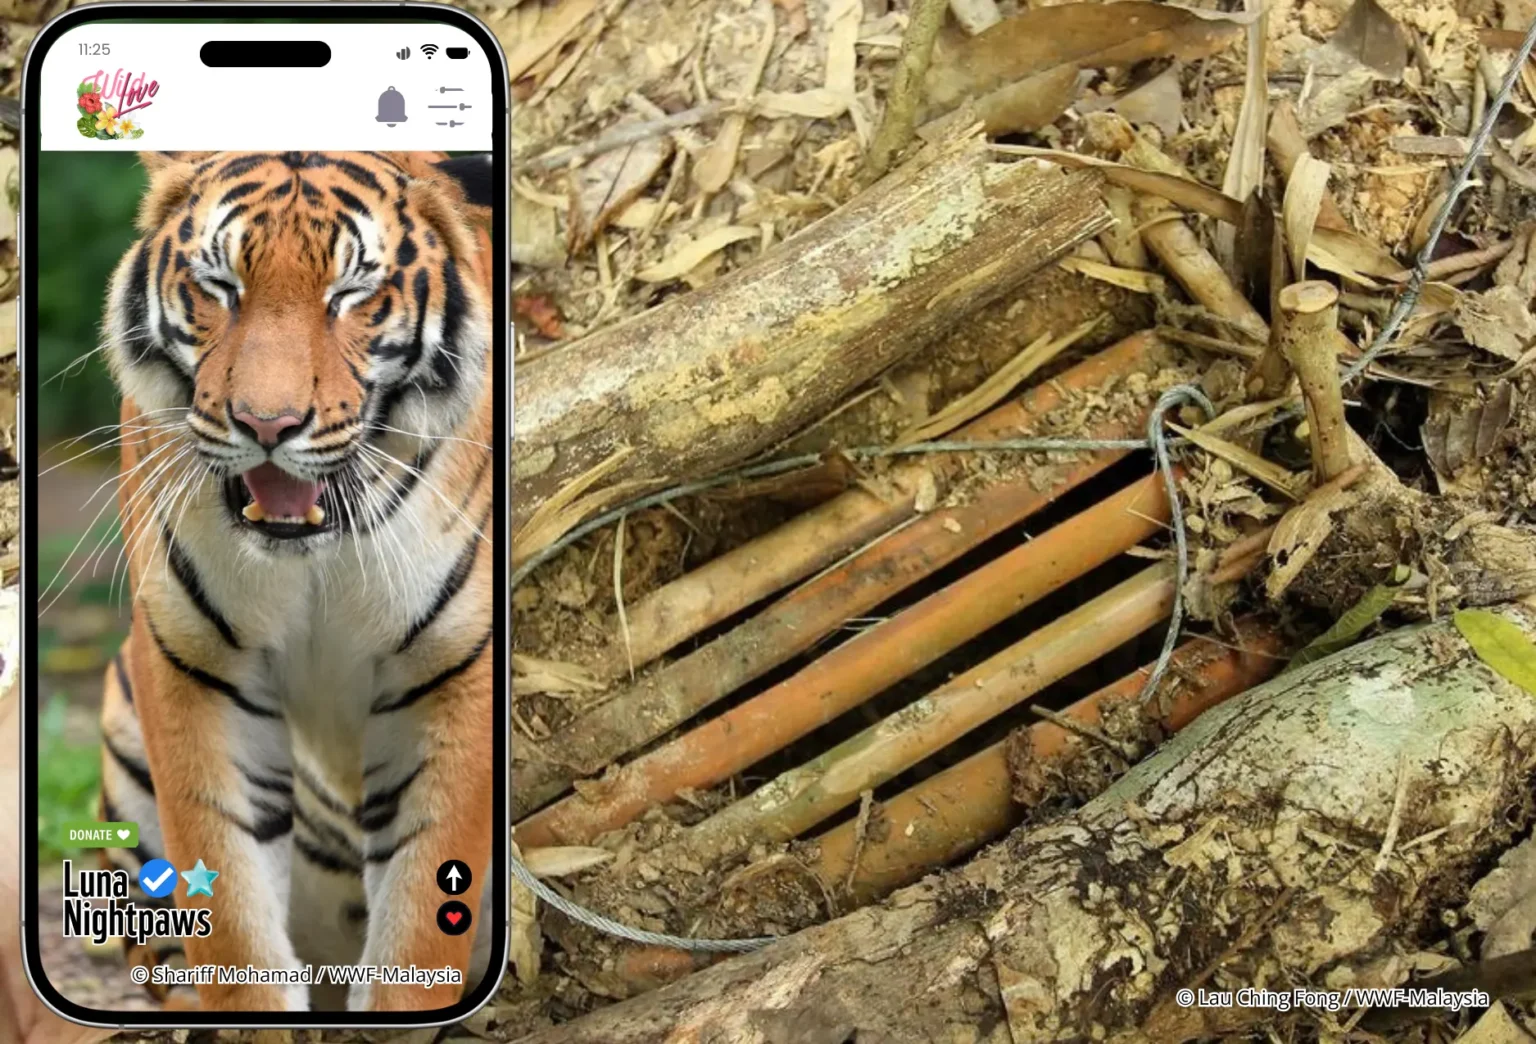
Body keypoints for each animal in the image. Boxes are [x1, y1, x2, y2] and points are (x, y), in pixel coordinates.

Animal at [84, 150, 502, 1013]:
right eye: (219, 287)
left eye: (351, 295)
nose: (267, 425)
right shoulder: (198, 670)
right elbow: (233, 926)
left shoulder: (452, 670)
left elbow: (419, 923)